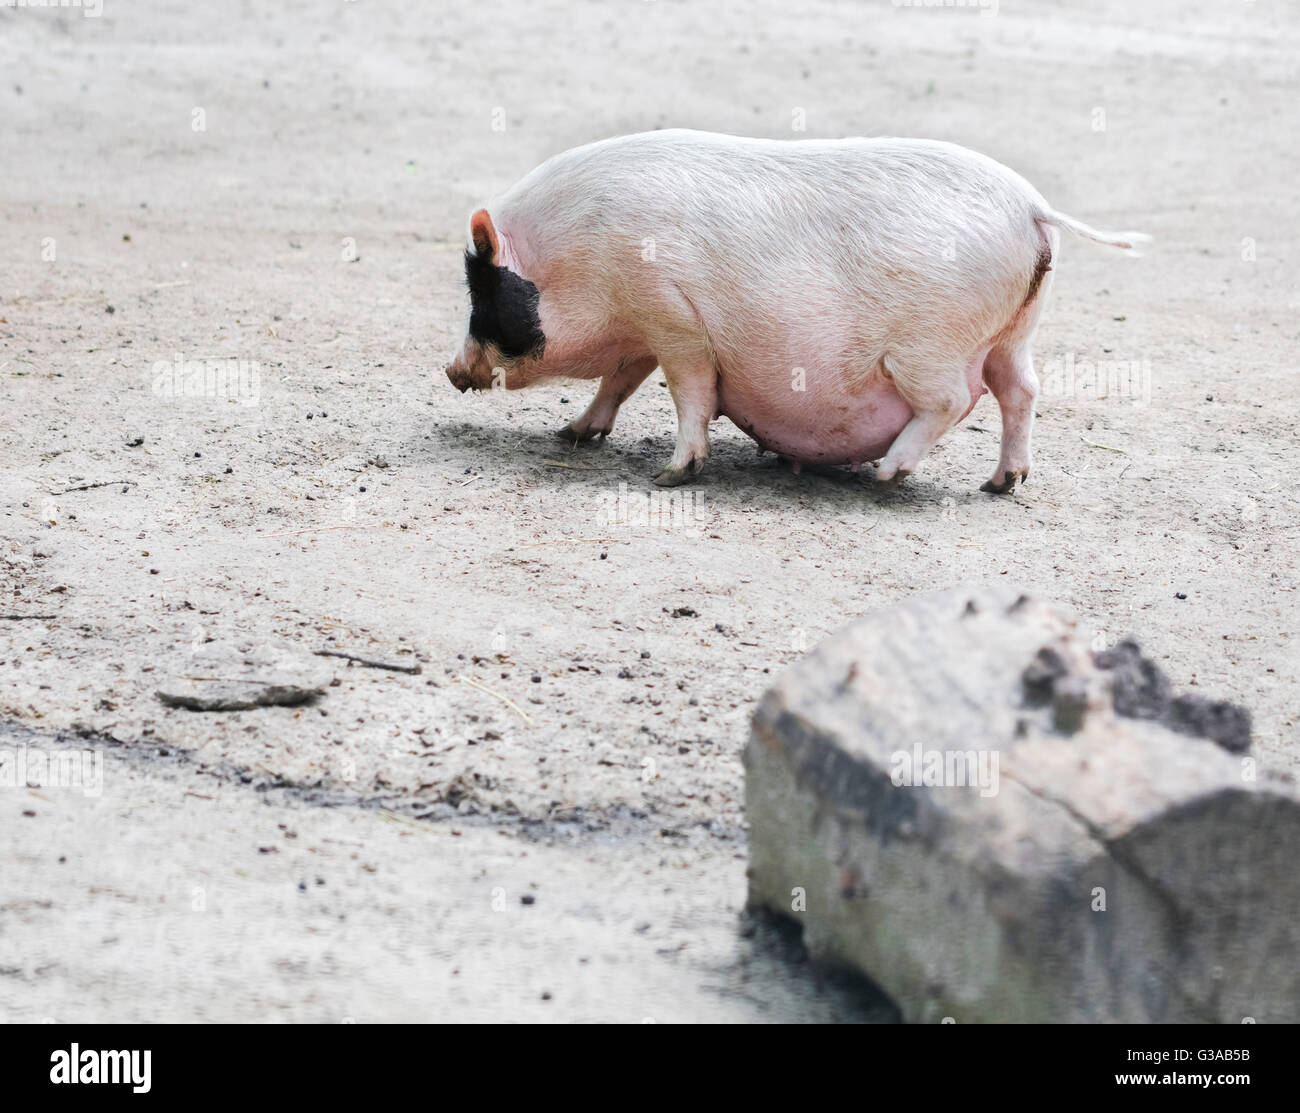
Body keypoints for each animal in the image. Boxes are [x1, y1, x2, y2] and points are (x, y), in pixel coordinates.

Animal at [447, 130, 1149, 491]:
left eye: (481, 289)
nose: (452, 372)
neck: (577, 256)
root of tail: (1032, 207)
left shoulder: (672, 314)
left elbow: (688, 390)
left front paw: (671, 476)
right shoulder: (647, 325)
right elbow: (620, 380)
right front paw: (570, 434)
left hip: (929, 347)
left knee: (952, 399)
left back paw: (887, 476)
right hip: (1015, 331)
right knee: (1021, 391)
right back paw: (1000, 484)